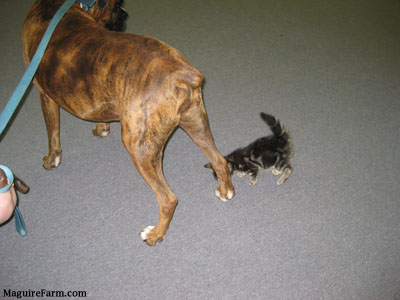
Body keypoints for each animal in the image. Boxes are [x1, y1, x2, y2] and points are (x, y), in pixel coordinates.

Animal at [21, 0, 234, 245]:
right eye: (117, 5)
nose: (125, 14)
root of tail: (180, 72)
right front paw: (102, 128)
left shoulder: (45, 95)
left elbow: (53, 133)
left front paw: (52, 159)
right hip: (196, 123)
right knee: (219, 161)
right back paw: (225, 191)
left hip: (140, 149)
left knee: (168, 199)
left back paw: (154, 234)